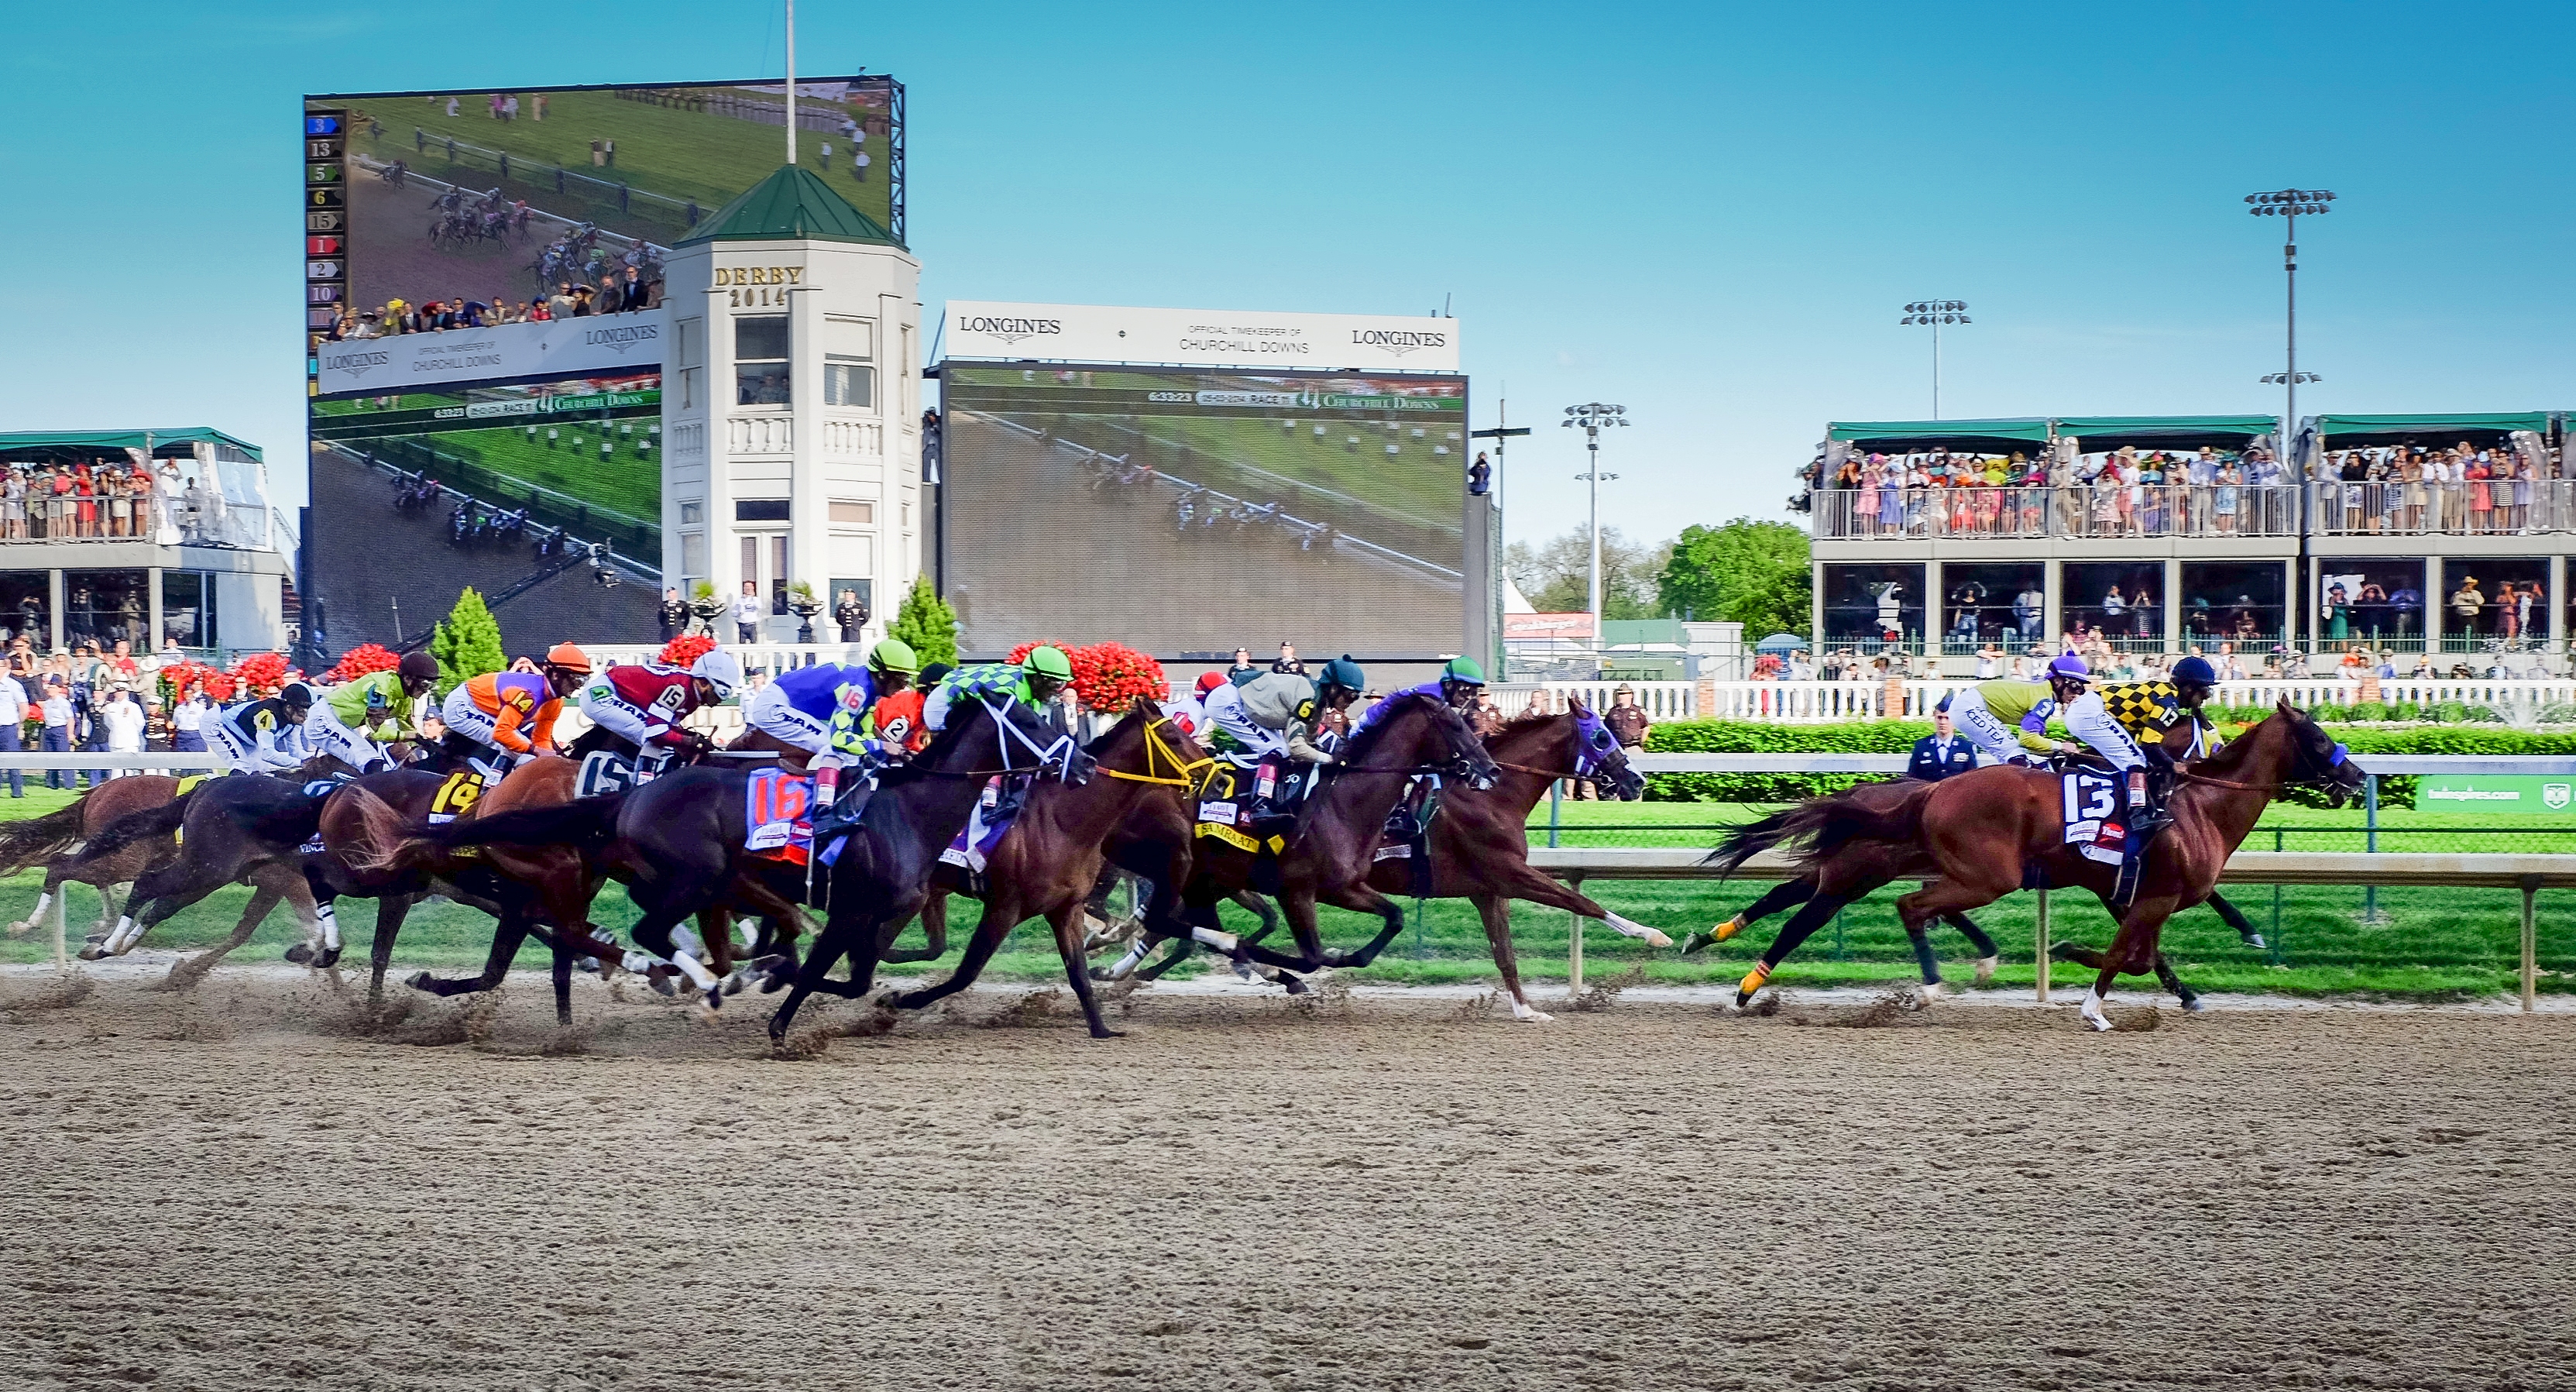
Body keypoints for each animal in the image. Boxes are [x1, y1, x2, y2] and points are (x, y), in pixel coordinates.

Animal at [1710, 701, 2359, 1026]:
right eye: (2320, 739)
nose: (2354, 776)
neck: (2194, 803)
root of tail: (1929, 791)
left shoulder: (2130, 892)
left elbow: (2144, 954)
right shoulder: (2148, 894)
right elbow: (2129, 955)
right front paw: (2091, 1000)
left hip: (1906, 865)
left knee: (1806, 896)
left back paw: (1719, 944)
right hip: (1957, 872)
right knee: (1864, 907)